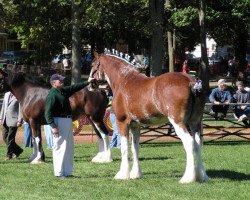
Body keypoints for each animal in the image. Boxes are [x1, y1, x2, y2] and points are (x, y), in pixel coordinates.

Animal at [90, 52, 209, 184]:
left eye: (93, 65)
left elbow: (124, 148)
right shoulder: (135, 125)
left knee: (189, 142)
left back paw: (187, 178)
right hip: (194, 123)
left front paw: (122, 174)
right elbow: (135, 148)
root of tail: (191, 82)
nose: (90, 84)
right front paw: (136, 174)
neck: (123, 79)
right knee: (198, 144)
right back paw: (202, 176)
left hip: (178, 122)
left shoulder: (122, 122)